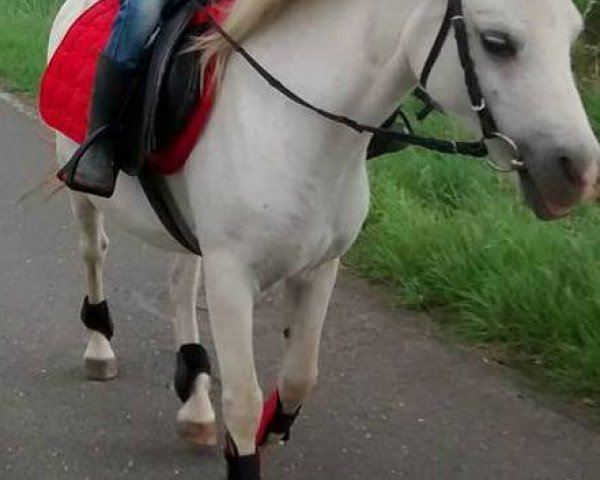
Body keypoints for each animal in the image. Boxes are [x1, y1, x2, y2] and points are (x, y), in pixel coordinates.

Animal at [48, 0, 600, 478]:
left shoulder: (319, 268)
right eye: (497, 42)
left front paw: (272, 427)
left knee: (180, 286)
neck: (295, 120)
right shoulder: (231, 278)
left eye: (573, 33)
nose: (578, 171)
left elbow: (299, 376)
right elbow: (243, 401)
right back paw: (100, 348)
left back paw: (197, 405)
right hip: (82, 195)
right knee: (93, 254)